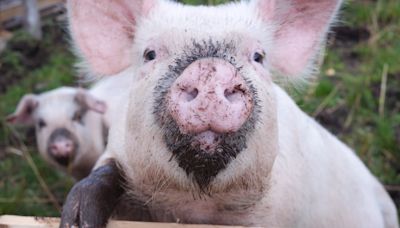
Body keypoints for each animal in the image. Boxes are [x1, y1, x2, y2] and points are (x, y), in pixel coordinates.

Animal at [61, 0, 398, 228]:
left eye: (258, 56)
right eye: (149, 54)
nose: (210, 70)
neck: (198, 207)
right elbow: (103, 175)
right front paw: (77, 220)